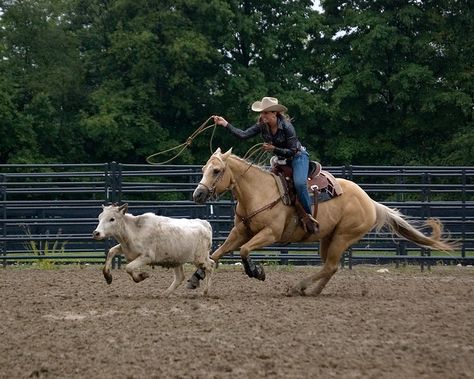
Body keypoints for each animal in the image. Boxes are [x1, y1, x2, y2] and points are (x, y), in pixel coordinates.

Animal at [191, 148, 458, 296]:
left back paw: (298, 287)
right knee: (331, 267)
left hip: (343, 237)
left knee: (330, 266)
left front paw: (257, 272)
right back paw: (312, 290)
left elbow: (245, 251)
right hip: (327, 239)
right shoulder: (240, 231)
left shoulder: (270, 234)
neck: (259, 192)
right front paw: (196, 277)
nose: (198, 194)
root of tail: (371, 202)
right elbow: (216, 254)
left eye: (217, 171)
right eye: (203, 168)